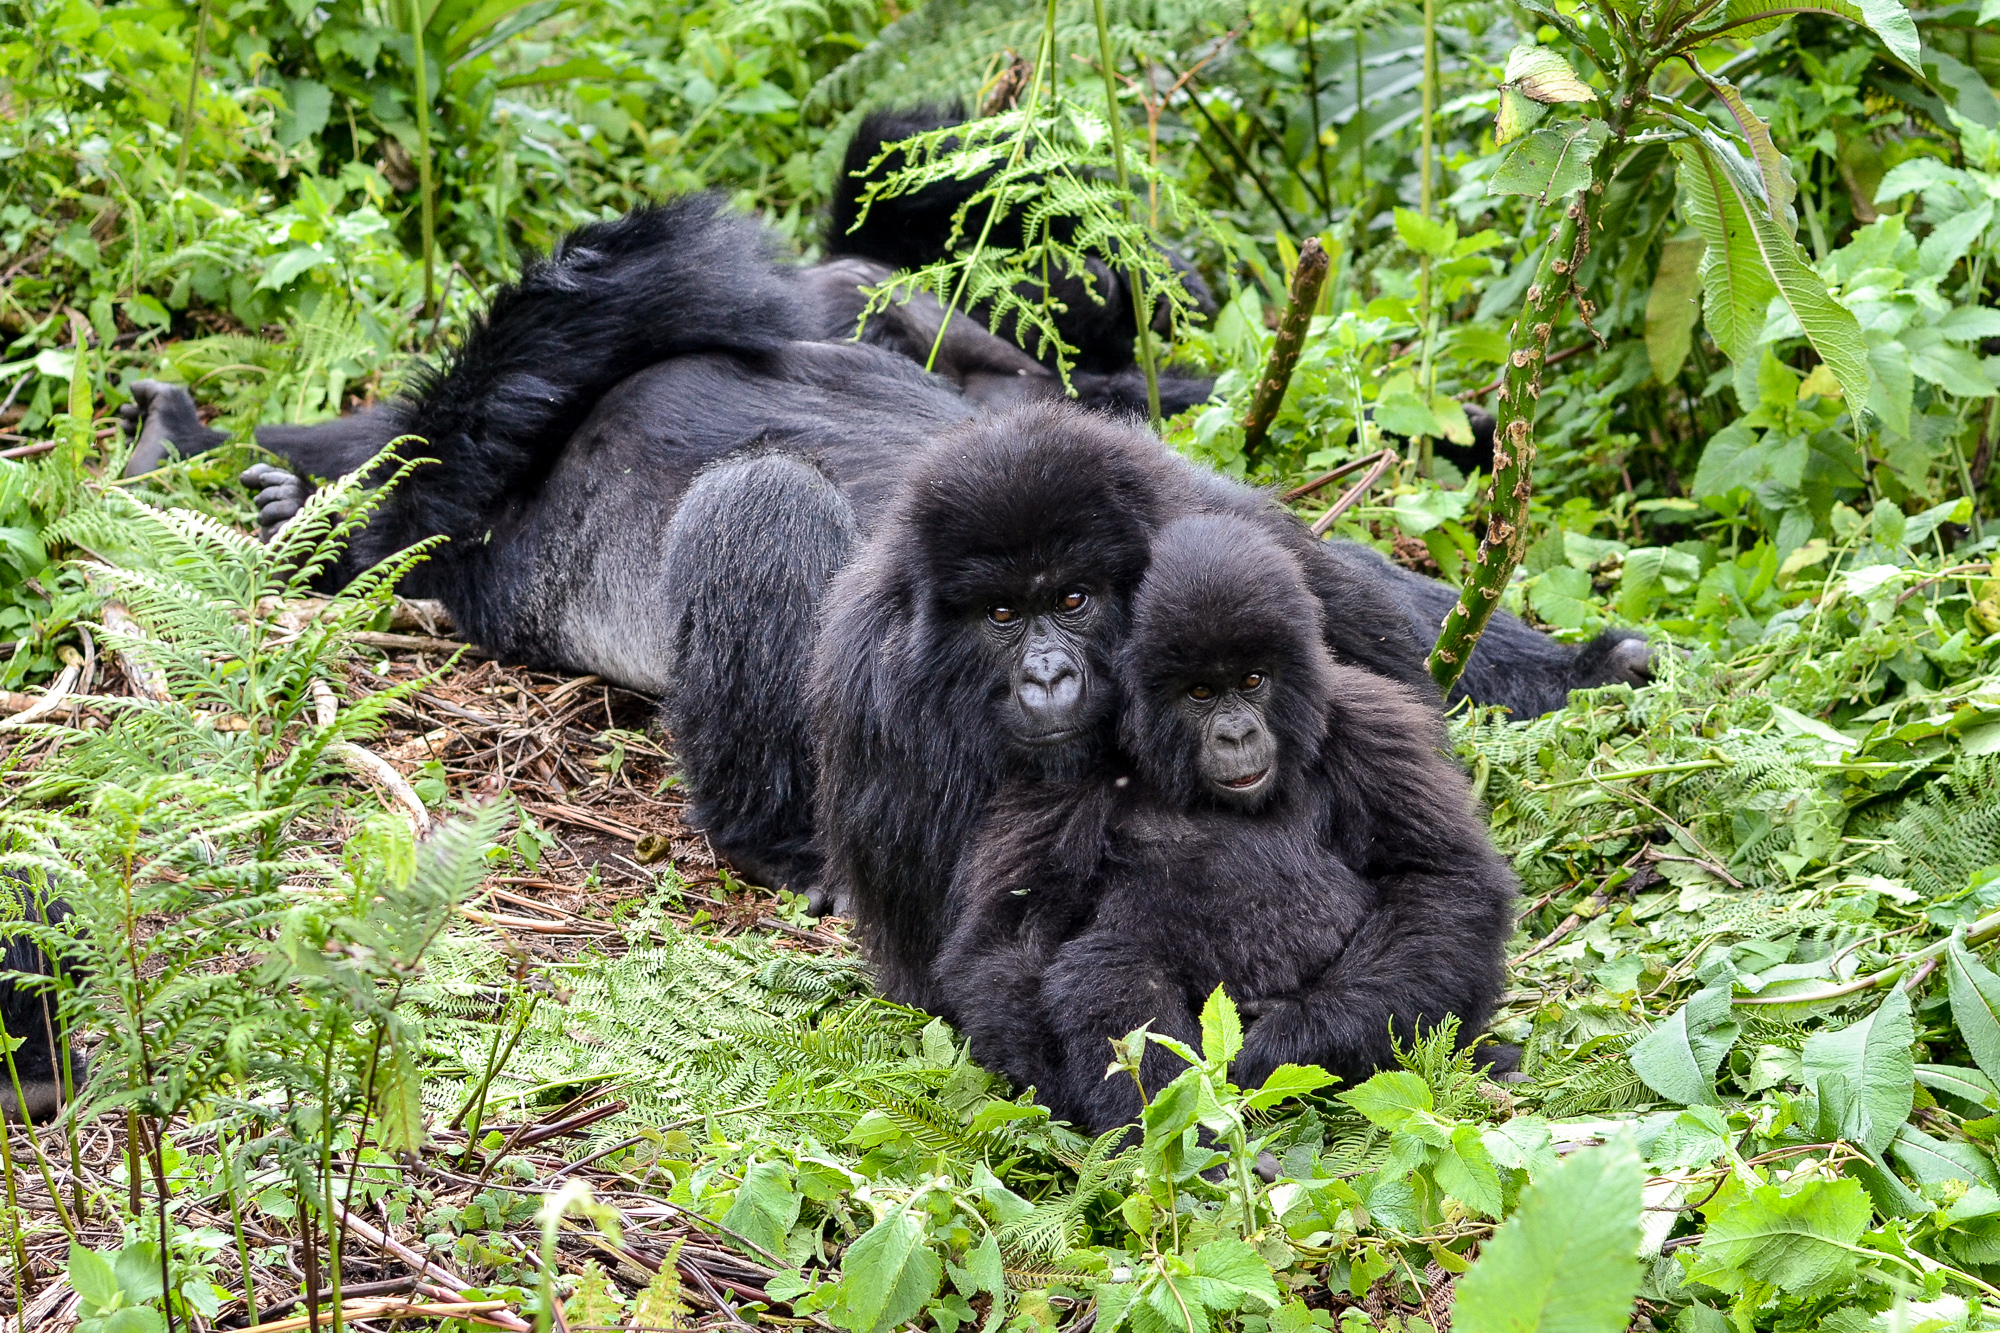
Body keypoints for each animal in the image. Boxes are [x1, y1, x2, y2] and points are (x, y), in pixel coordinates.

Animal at [936, 512, 1512, 1128]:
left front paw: (1293, 1041)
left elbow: (1441, 880)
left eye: (1253, 680)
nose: (1236, 735)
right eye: (1201, 691)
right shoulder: (1065, 766)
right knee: (1104, 966)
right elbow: (1009, 943)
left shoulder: (1373, 727)